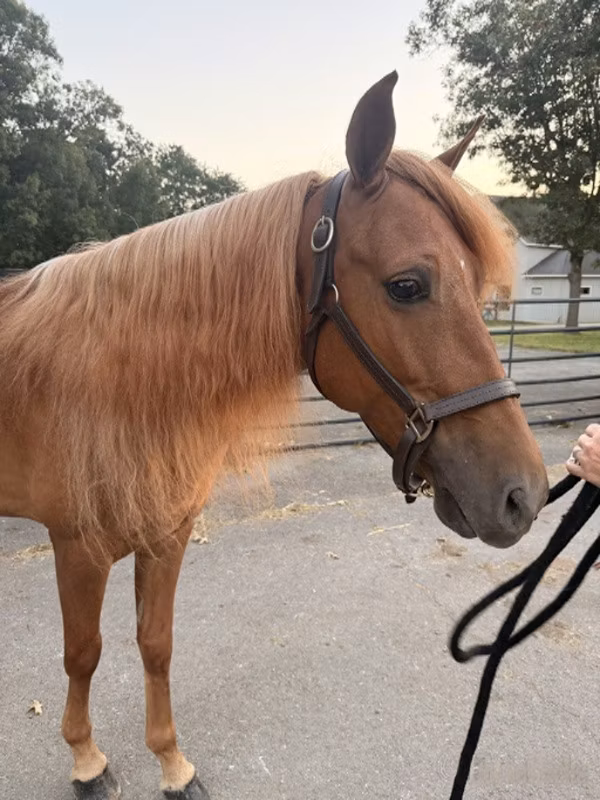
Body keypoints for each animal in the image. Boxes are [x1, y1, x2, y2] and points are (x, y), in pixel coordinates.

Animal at [0, 72, 548, 800]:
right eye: (407, 285)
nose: (525, 495)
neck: (116, 376)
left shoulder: (167, 535)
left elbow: (156, 645)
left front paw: (172, 764)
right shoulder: (79, 547)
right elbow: (83, 654)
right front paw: (88, 762)